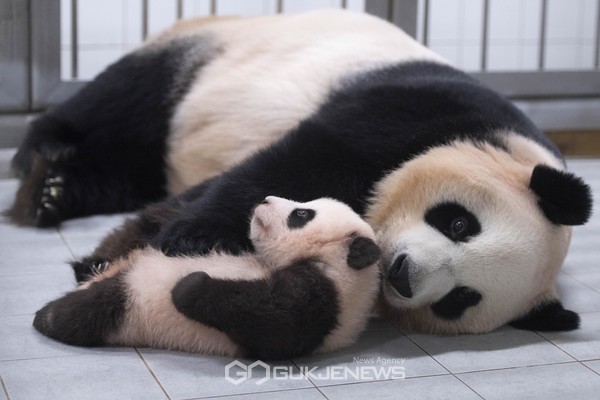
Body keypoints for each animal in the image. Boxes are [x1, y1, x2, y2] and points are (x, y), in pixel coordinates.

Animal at [9, 10, 592, 334]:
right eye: (459, 223)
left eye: (460, 299)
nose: (402, 274)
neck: (508, 146)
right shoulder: (418, 111)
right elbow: (298, 160)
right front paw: (184, 241)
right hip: (201, 58)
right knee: (121, 107)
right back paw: (41, 176)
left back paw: (57, 194)